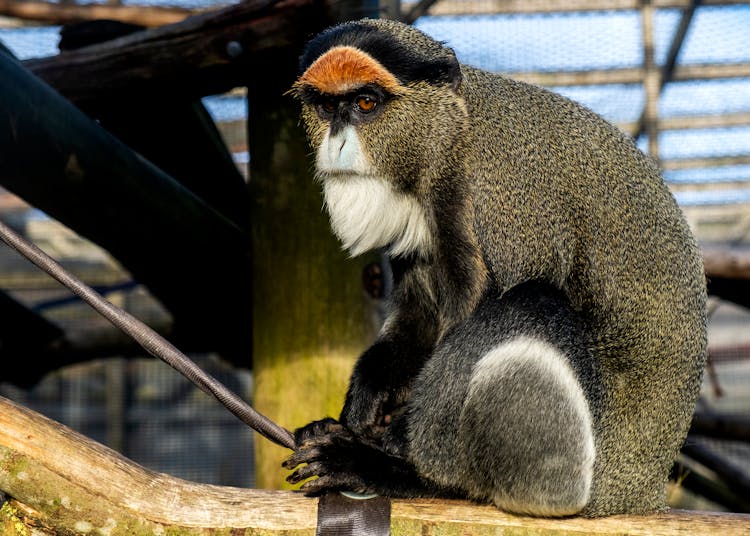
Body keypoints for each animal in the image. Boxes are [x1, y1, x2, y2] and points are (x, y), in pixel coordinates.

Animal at [282, 17, 712, 520]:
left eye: (365, 103)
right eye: (327, 106)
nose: (336, 142)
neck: (449, 139)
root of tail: (641, 494)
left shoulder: (508, 194)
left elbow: (481, 318)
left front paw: (385, 447)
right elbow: (419, 316)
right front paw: (362, 401)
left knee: (530, 304)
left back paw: (410, 475)